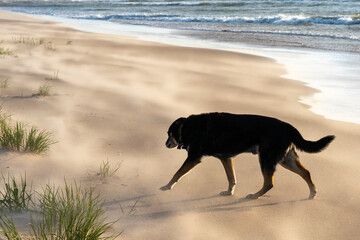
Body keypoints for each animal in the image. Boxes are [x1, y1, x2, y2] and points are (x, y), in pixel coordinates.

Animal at [160, 112, 334, 199]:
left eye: (169, 134)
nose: (165, 144)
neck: (186, 126)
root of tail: (288, 127)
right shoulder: (226, 157)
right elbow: (231, 177)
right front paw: (229, 192)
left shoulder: (193, 157)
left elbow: (177, 173)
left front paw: (167, 186)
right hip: (286, 159)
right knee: (306, 172)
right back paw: (312, 192)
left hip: (266, 158)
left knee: (269, 183)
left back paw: (255, 195)